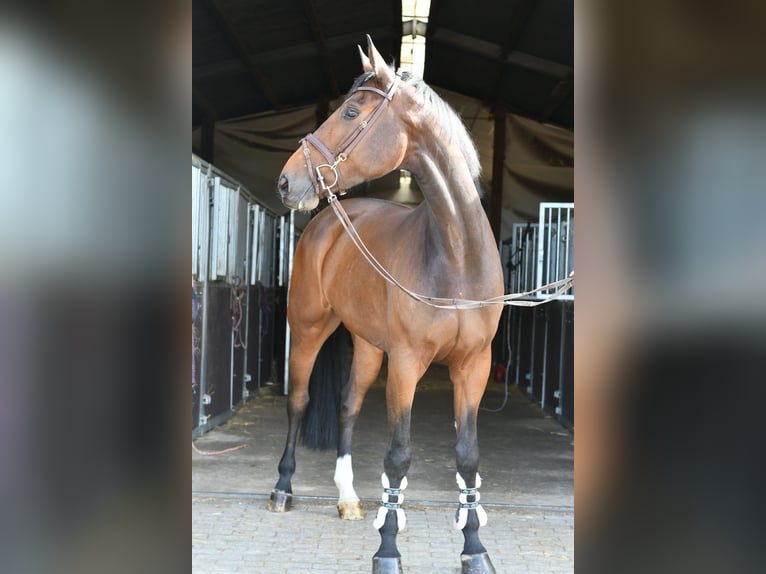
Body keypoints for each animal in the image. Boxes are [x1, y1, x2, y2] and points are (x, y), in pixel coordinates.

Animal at [268, 36, 503, 574]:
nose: (287, 182)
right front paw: (388, 551)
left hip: (368, 347)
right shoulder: (407, 364)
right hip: (309, 329)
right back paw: (284, 488)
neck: (456, 258)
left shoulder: (473, 366)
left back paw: (349, 499)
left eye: (352, 111)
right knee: (299, 401)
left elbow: (468, 457)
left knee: (348, 406)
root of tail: (330, 219)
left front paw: (474, 549)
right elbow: (398, 456)